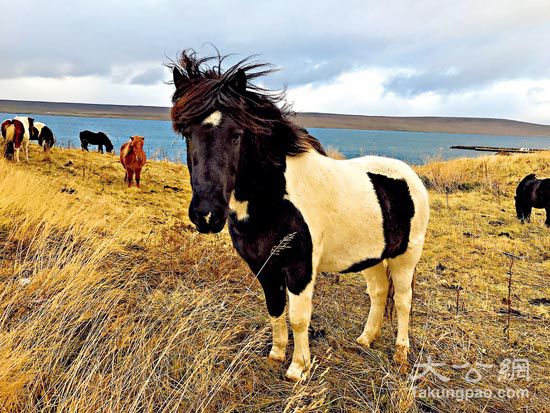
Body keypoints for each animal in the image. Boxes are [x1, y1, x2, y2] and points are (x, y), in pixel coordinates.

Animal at [170, 51, 430, 382]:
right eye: (187, 134)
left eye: (236, 135)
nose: (207, 214)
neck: (275, 199)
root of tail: (409, 175)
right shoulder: (263, 267)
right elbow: (275, 309)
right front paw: (276, 355)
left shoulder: (299, 268)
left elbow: (298, 317)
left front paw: (298, 368)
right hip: (372, 257)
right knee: (379, 292)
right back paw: (365, 339)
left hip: (405, 258)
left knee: (403, 302)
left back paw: (400, 356)